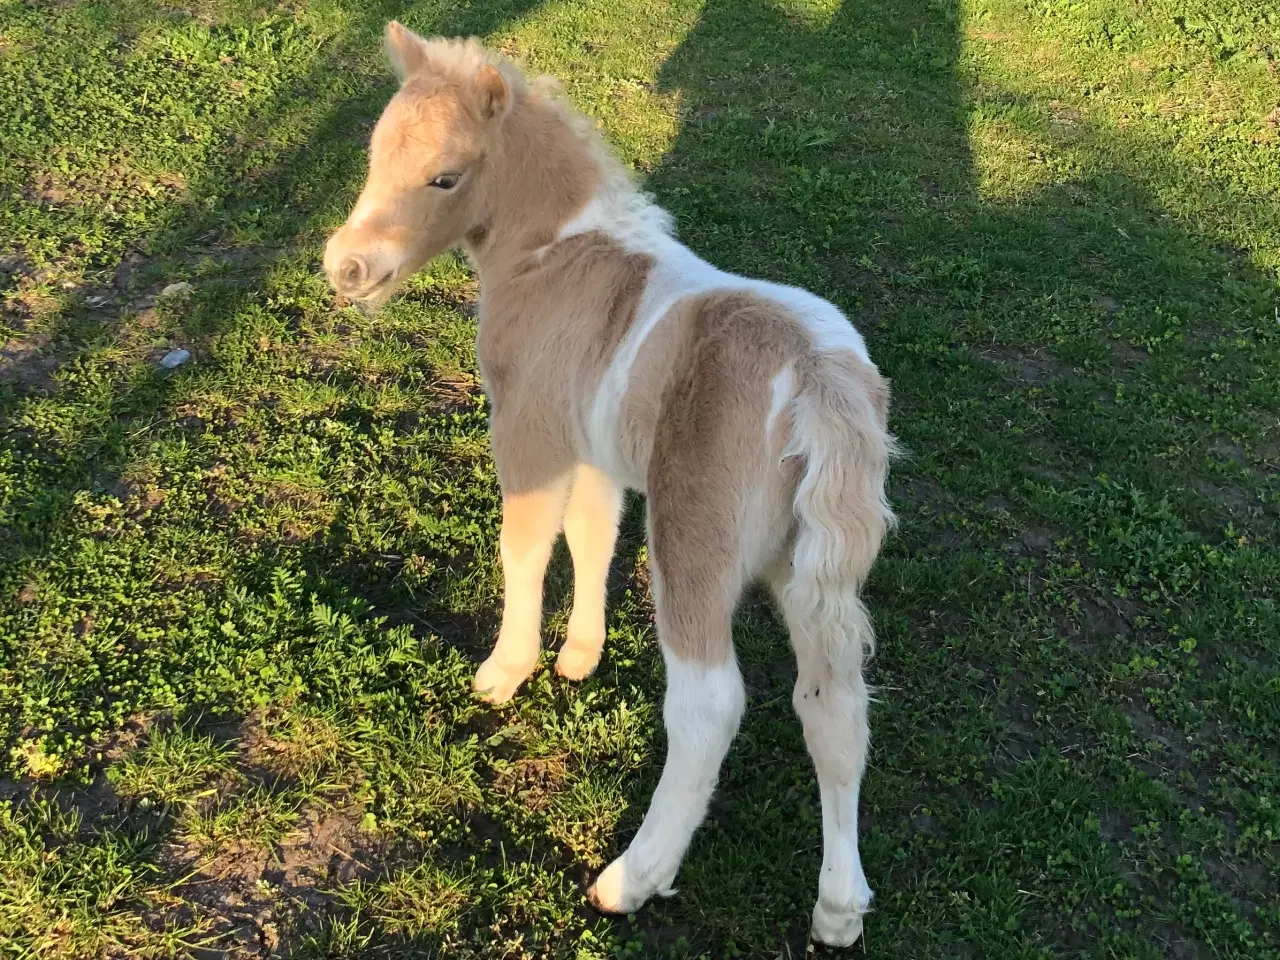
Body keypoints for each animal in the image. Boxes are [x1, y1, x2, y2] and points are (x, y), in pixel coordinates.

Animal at [325, 22, 896, 947]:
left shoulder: (529, 432)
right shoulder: (593, 447)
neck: (555, 255)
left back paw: (630, 878)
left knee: (710, 702)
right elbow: (593, 534)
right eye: (375, 154)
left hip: (697, 543)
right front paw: (579, 656)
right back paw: (839, 909)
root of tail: (820, 379)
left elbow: (523, 544)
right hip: (809, 567)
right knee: (834, 705)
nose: (347, 269)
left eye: (445, 176)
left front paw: (507, 669)